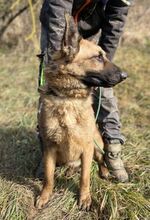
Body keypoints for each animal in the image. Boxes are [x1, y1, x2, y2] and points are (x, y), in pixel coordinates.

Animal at [35, 14, 127, 211]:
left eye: (104, 55)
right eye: (98, 58)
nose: (125, 75)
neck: (69, 99)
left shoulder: (87, 148)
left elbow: (85, 178)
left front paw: (84, 198)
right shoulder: (50, 149)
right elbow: (49, 177)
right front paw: (45, 196)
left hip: (97, 147)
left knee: (101, 160)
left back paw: (105, 172)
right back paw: (69, 171)